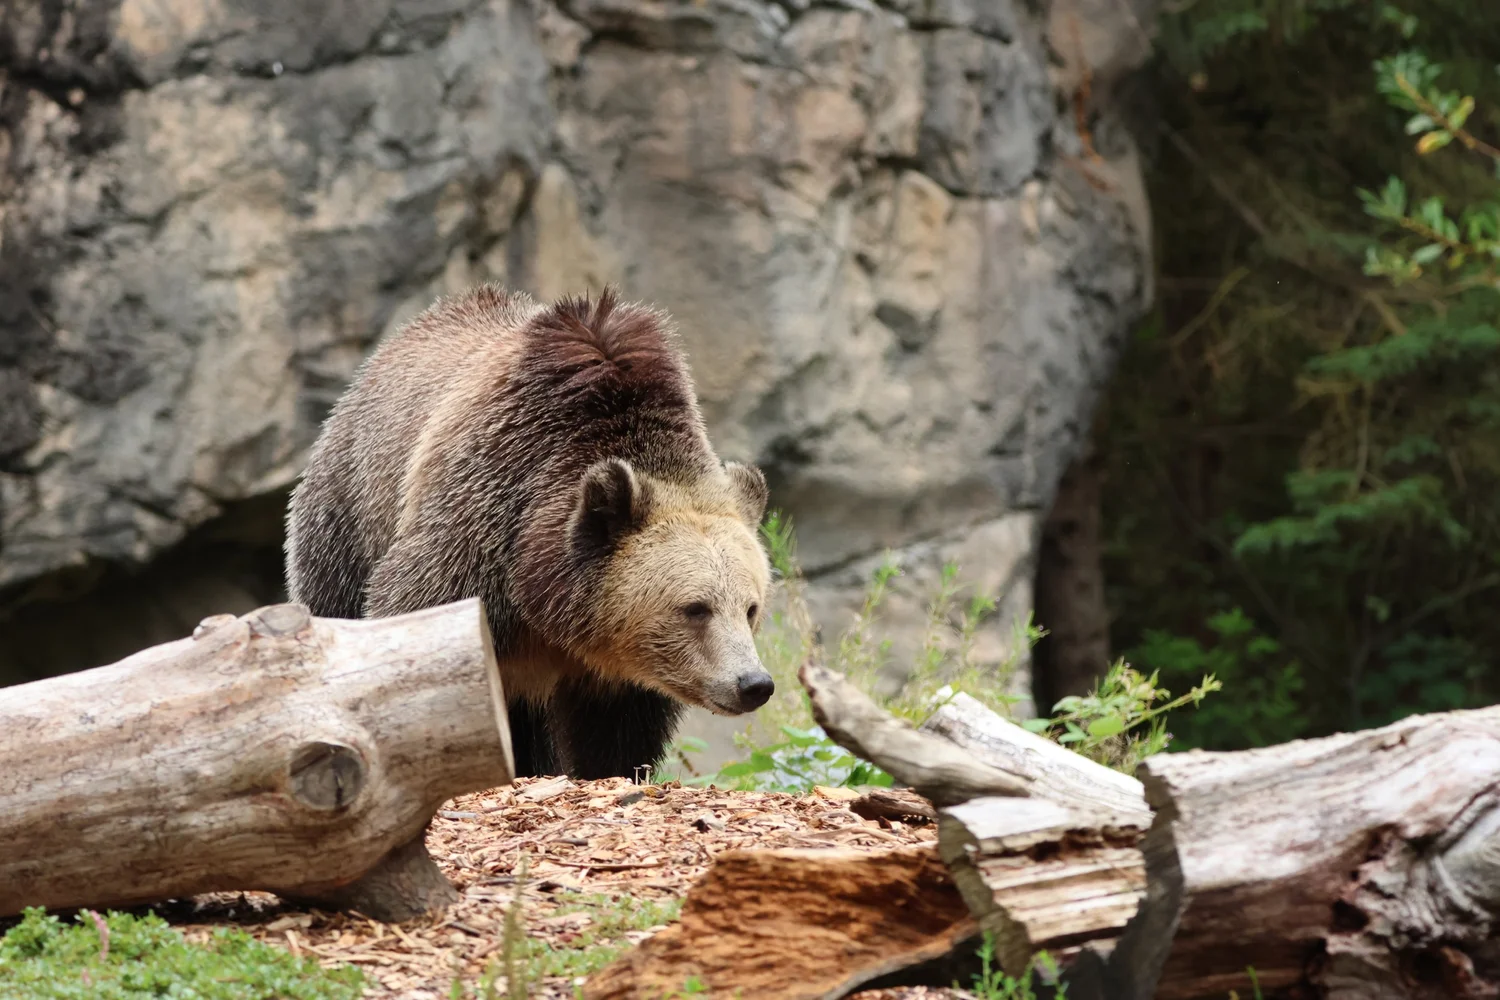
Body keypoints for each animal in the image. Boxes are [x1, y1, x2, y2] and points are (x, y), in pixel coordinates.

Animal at [283, 284, 775, 780]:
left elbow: (617, 729)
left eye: (750, 607)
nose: (753, 683)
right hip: (348, 511)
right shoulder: (479, 525)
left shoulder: (614, 671)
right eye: (695, 608)